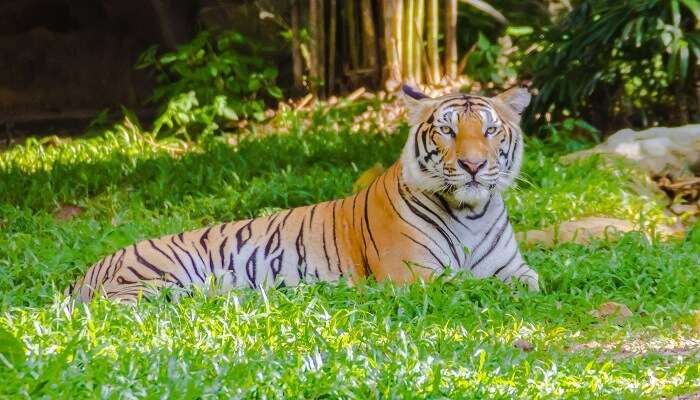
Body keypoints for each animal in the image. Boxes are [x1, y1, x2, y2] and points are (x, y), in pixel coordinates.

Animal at [65, 84, 540, 302]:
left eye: (490, 130)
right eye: (447, 131)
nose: (473, 165)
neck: (471, 211)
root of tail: (87, 271)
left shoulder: (514, 267)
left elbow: (530, 282)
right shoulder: (412, 274)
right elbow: (471, 282)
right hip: (155, 282)